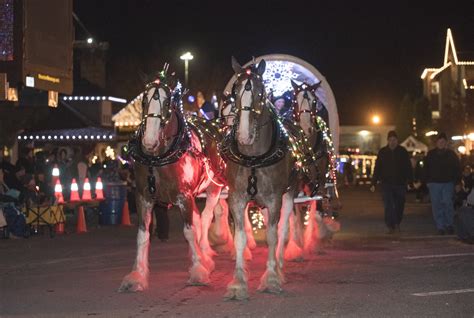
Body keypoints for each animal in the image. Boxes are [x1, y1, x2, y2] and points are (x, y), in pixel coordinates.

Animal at [120, 72, 228, 294]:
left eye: (167, 102)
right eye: (143, 100)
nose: (149, 141)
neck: (159, 158)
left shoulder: (184, 196)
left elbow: (189, 231)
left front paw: (198, 270)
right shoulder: (143, 197)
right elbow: (142, 235)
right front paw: (137, 275)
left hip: (214, 188)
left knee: (206, 218)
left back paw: (205, 256)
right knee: (200, 219)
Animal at [220, 57, 298, 300]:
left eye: (261, 92)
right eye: (235, 91)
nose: (244, 136)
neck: (254, 159)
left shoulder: (274, 199)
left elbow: (273, 236)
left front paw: (271, 279)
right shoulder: (236, 199)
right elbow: (240, 238)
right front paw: (238, 283)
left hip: (289, 194)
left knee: (282, 229)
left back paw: (279, 268)